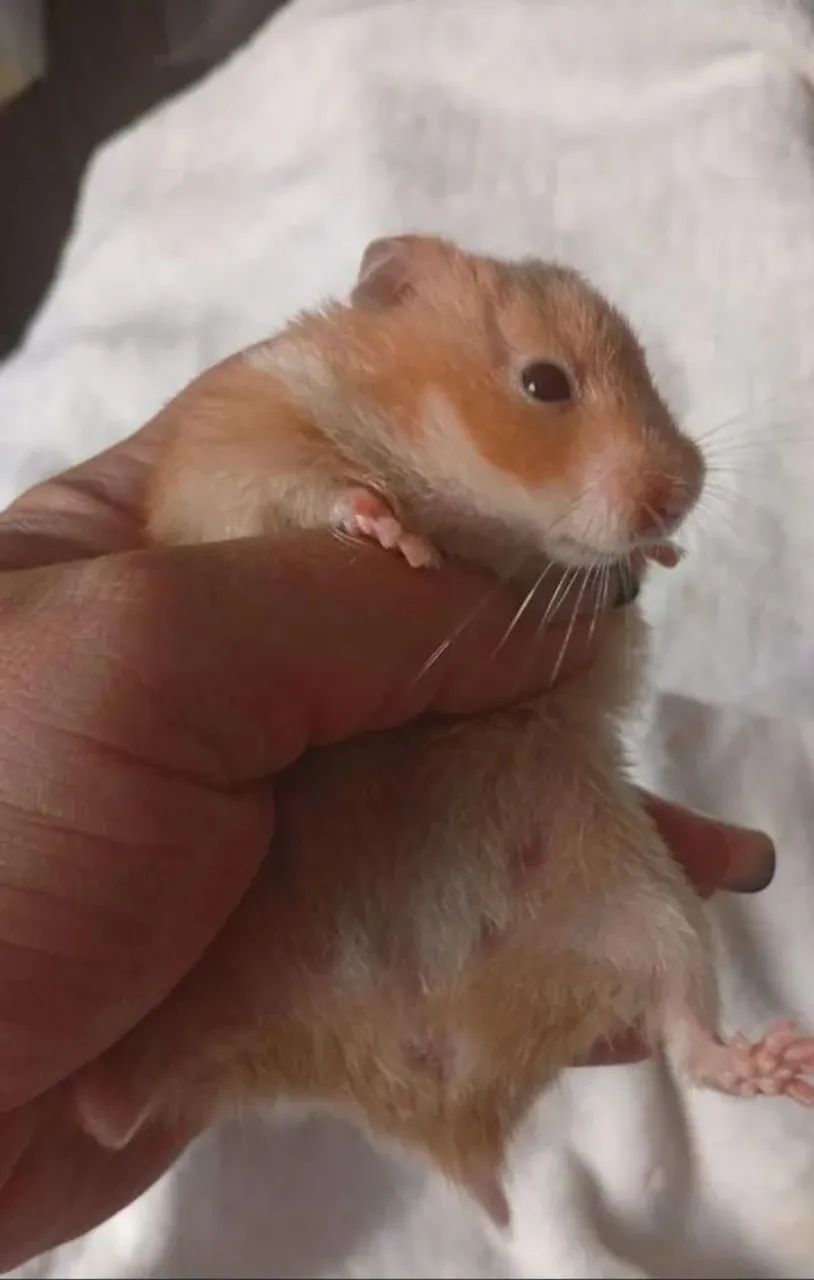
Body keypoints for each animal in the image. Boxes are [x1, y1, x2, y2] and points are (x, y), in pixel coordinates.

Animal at [74, 234, 814, 1225]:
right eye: (545, 383)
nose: (680, 494)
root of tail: (435, 1091)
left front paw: (662, 556)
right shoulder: (245, 438)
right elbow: (314, 487)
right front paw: (392, 532)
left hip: (652, 913)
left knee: (693, 1039)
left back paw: (778, 1063)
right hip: (201, 980)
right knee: (133, 1094)